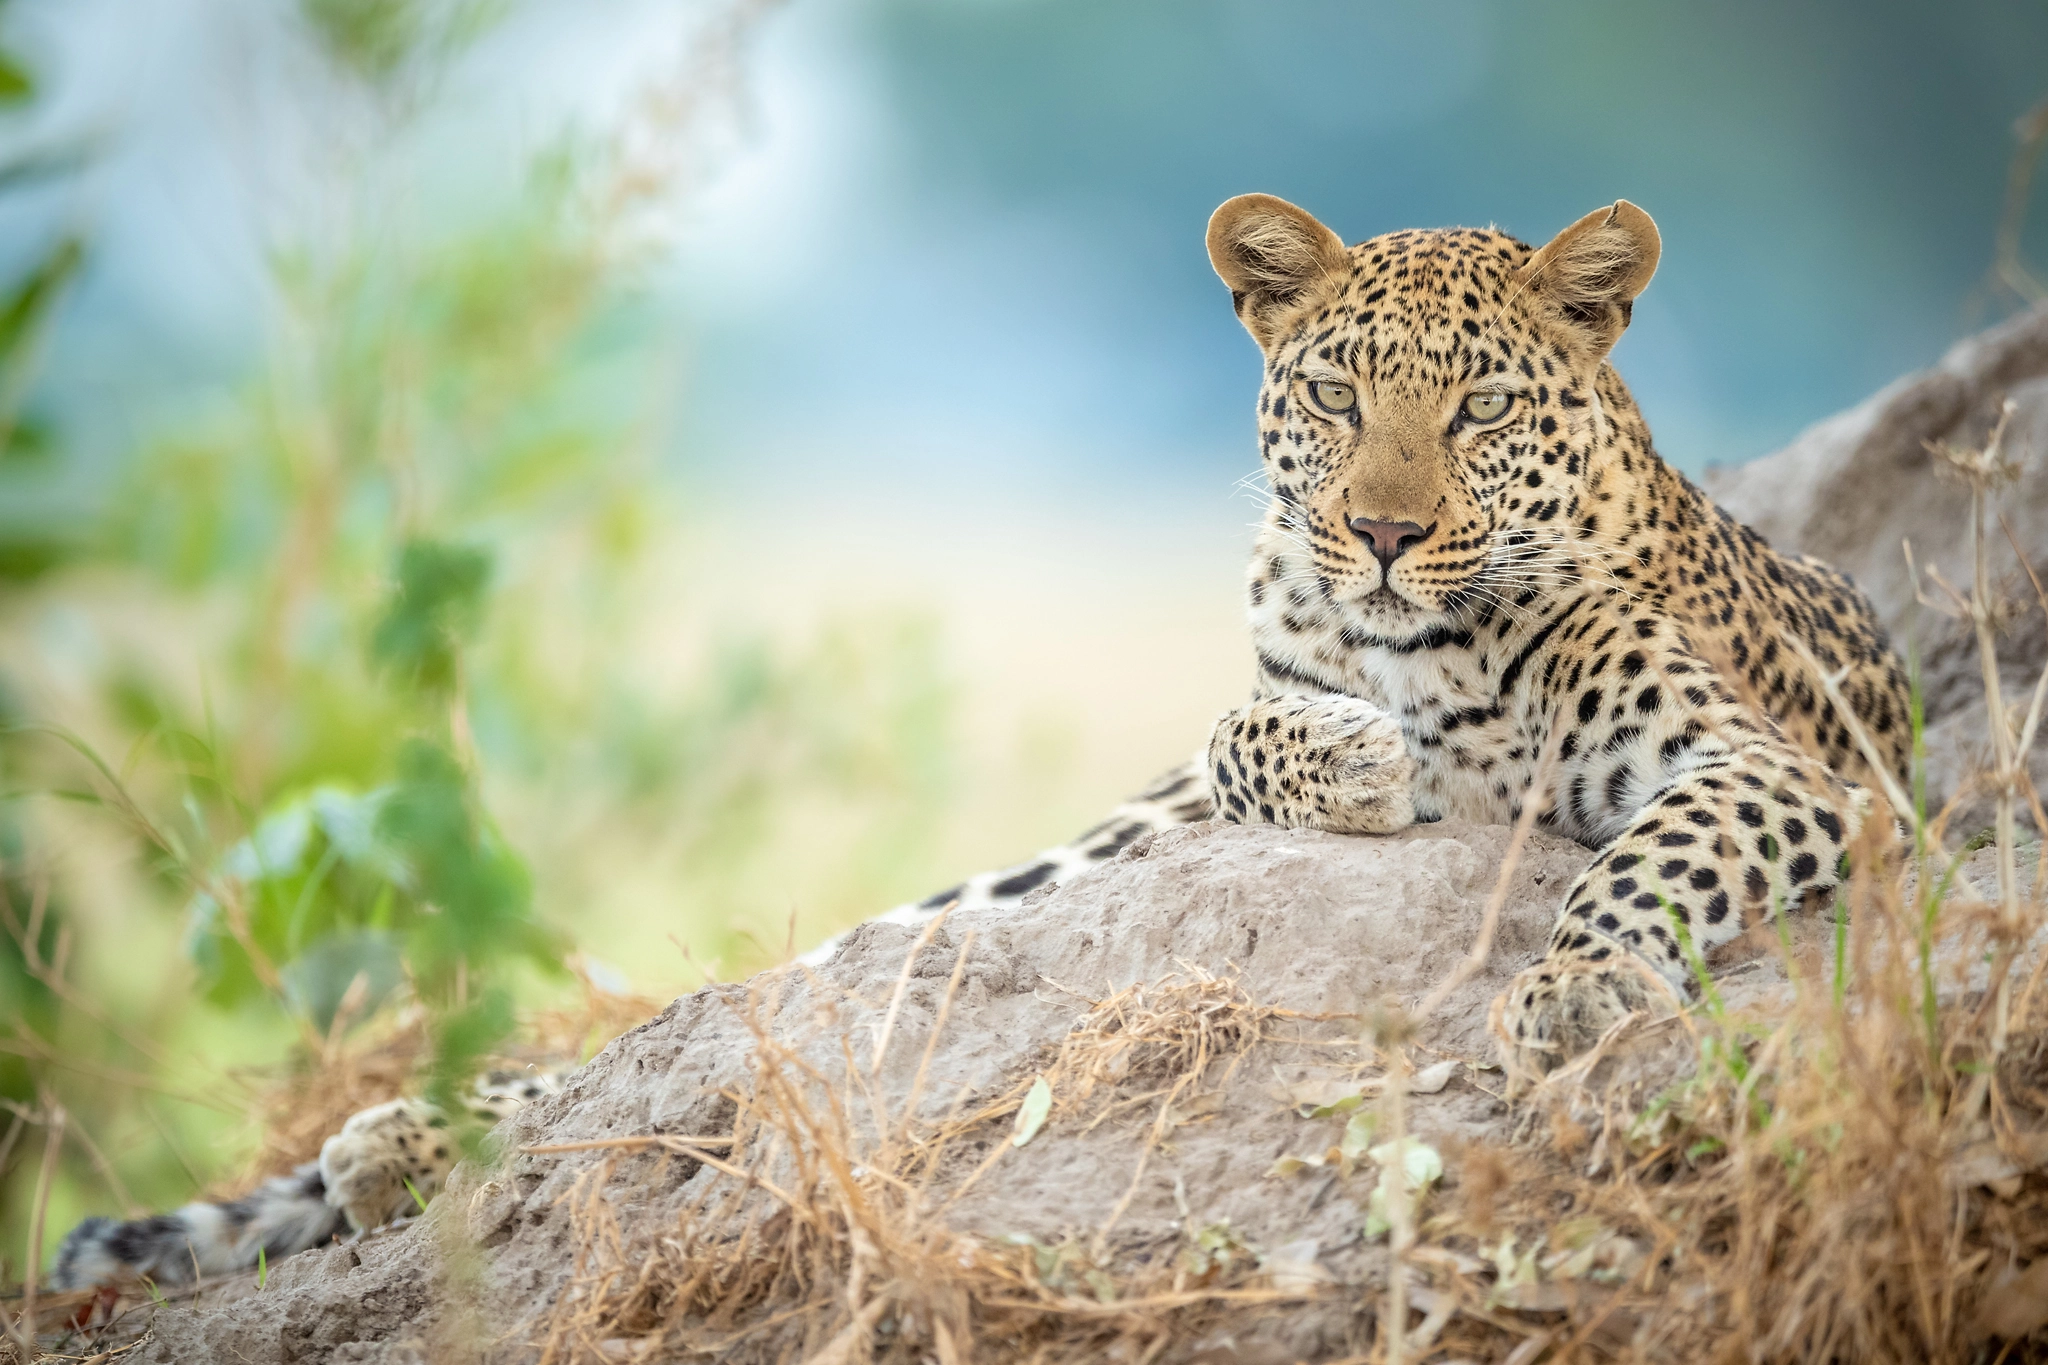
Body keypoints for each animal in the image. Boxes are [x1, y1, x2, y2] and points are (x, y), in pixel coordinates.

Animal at [48, 192, 1908, 1293]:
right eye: (1334, 397)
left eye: (1481, 408)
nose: (1379, 533)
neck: (1416, 641)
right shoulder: (1237, 707)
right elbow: (1254, 720)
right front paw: (1361, 757)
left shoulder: (1784, 769)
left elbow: (1647, 854)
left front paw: (1572, 989)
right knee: (729, 1014)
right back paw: (400, 1141)